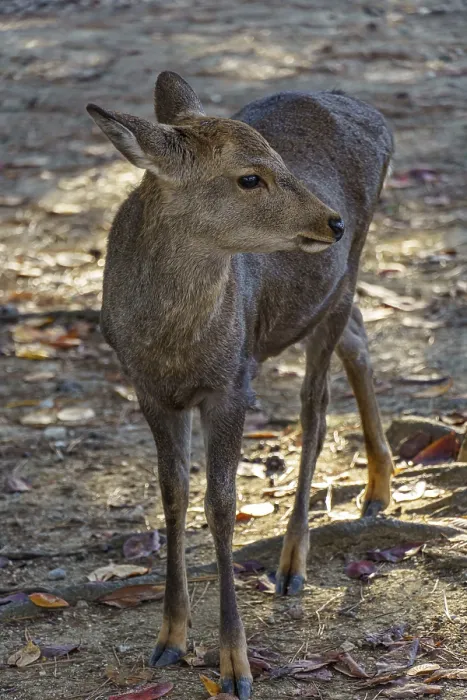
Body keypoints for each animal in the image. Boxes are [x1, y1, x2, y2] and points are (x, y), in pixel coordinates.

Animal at [86, 71, 395, 700]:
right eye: (249, 176)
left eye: (277, 161)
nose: (332, 221)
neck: (174, 345)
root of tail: (378, 119)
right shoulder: (149, 391)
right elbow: (173, 494)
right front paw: (170, 639)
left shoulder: (232, 383)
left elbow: (223, 505)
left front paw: (236, 666)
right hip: (327, 296)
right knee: (358, 335)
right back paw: (379, 486)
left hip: (344, 277)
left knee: (315, 410)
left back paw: (292, 562)